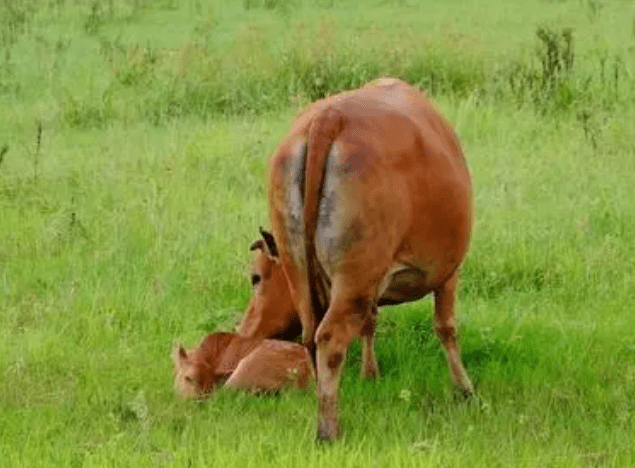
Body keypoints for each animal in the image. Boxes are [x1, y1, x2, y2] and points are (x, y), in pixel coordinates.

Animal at [251, 77, 474, 442]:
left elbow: (371, 321)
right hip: (356, 274)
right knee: (329, 339)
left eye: (256, 277)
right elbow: (446, 326)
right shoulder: (447, 271)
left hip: (305, 271)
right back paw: (329, 430)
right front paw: (464, 389)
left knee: (312, 337)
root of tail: (329, 117)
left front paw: (370, 373)